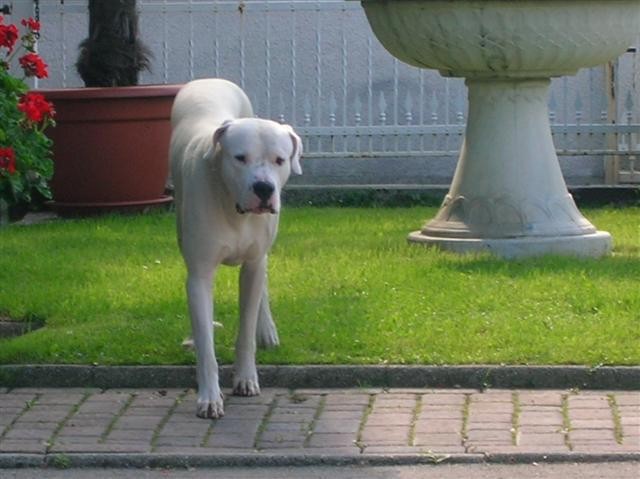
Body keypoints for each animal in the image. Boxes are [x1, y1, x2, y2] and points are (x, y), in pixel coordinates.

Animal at [169, 79, 302, 420]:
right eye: (240, 158)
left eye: (280, 160)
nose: (264, 188)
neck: (233, 205)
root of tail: (209, 79)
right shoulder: (200, 274)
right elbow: (206, 344)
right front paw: (209, 397)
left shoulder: (254, 263)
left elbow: (246, 328)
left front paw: (245, 378)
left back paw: (267, 330)